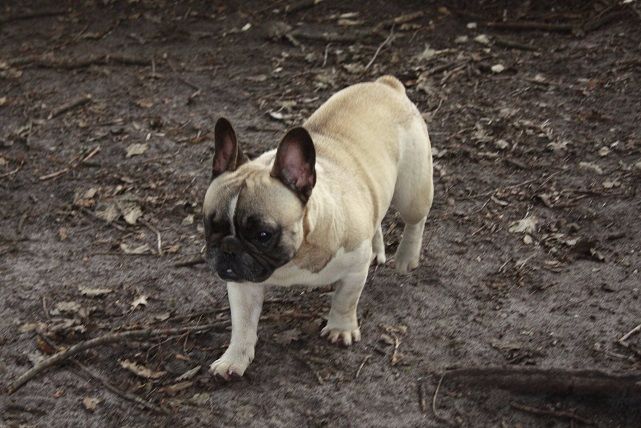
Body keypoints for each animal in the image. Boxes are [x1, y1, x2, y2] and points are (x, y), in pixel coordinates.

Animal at [202, 76, 432, 378]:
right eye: (209, 226)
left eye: (263, 235)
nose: (228, 248)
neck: (295, 257)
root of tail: (386, 85)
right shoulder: (243, 285)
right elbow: (242, 324)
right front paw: (234, 359)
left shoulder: (354, 271)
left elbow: (345, 300)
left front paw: (341, 329)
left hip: (411, 190)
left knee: (416, 219)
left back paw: (406, 257)